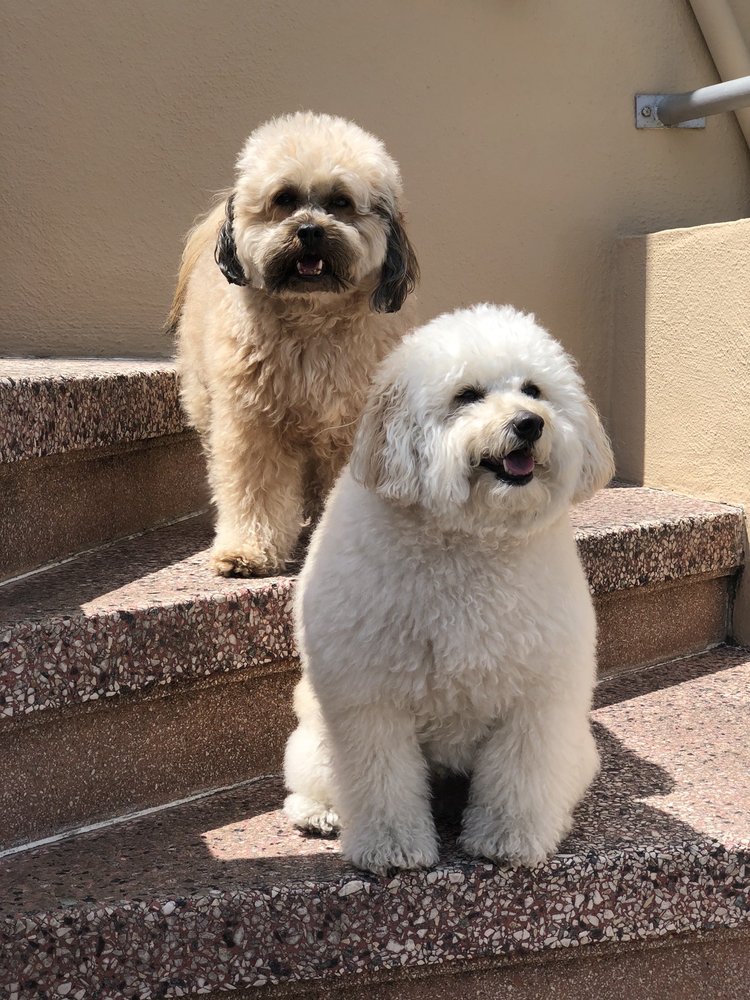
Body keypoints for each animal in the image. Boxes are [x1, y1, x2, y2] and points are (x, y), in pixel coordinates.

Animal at [167, 112, 418, 576]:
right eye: (283, 198)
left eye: (340, 202)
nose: (309, 231)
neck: (311, 320)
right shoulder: (253, 422)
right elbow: (254, 488)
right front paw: (246, 550)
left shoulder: (352, 426)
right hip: (206, 400)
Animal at [283, 304, 615, 874]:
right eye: (467, 395)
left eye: (533, 389)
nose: (529, 422)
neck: (469, 544)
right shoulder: (369, 698)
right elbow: (383, 780)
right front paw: (392, 847)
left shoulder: (537, 697)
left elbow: (521, 777)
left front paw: (510, 838)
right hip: (315, 741)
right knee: (312, 778)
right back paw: (318, 812)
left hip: (577, 748)